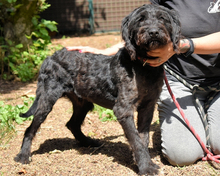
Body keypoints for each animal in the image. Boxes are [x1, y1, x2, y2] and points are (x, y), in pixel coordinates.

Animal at [14, 3, 180, 175]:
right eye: (140, 19)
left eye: (162, 18)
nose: (153, 31)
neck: (143, 66)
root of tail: (50, 57)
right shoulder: (123, 109)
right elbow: (136, 139)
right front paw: (146, 166)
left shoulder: (148, 106)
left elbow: (143, 137)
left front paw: (142, 161)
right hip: (46, 101)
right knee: (30, 129)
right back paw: (23, 155)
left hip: (83, 103)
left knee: (72, 124)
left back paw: (89, 142)